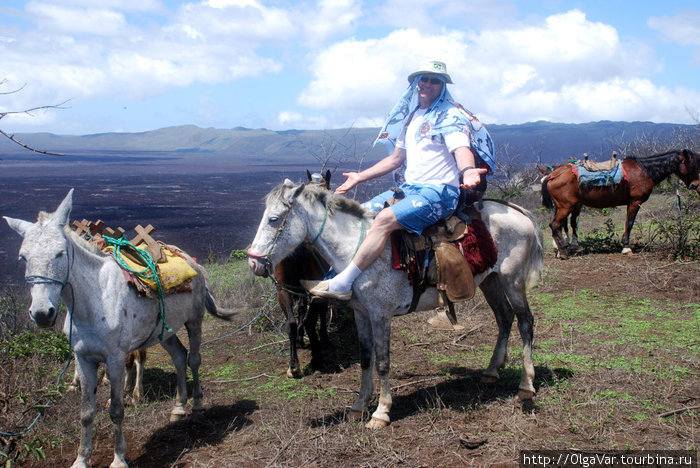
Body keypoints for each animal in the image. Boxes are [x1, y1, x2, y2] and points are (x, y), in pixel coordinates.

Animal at [2, 190, 239, 468]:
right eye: (23, 257)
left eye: (60, 253)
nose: (42, 313)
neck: (94, 300)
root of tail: (193, 262)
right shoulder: (83, 359)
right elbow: (86, 412)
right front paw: (81, 459)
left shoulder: (114, 359)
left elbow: (115, 409)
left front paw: (118, 458)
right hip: (165, 332)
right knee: (179, 357)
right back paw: (179, 408)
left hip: (194, 322)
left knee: (193, 359)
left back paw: (198, 404)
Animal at [249, 181, 544, 430]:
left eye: (273, 219)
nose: (253, 263)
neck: (358, 250)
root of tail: (519, 211)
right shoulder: (361, 313)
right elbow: (365, 357)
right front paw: (359, 405)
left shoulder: (381, 315)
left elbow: (382, 362)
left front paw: (381, 412)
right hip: (490, 281)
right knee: (504, 318)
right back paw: (492, 371)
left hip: (512, 281)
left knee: (525, 322)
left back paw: (526, 385)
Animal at [540, 149, 700, 258]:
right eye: (692, 164)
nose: (696, 185)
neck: (644, 171)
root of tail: (552, 176)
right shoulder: (635, 202)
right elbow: (629, 224)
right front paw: (626, 248)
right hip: (565, 207)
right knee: (555, 225)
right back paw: (563, 252)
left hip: (561, 207)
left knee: (558, 225)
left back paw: (559, 249)